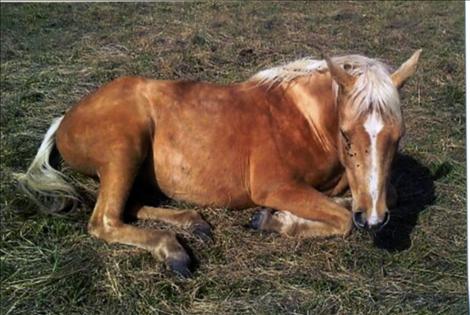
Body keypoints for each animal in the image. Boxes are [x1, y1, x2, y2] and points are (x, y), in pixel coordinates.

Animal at [16, 49, 422, 276]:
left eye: (398, 136)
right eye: (347, 135)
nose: (374, 220)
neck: (305, 120)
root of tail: (66, 117)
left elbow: (386, 195)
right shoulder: (275, 186)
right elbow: (341, 220)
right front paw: (274, 220)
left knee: (129, 204)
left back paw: (192, 222)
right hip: (124, 148)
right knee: (105, 220)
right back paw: (174, 250)